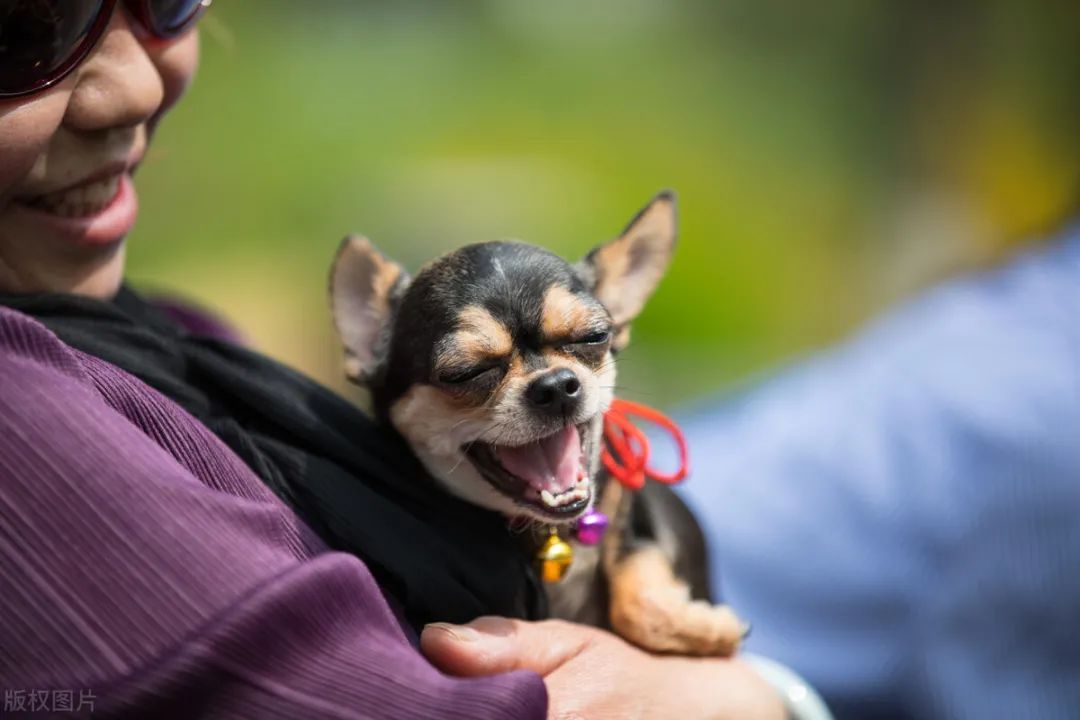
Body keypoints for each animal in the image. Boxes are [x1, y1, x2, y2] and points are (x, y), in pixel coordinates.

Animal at [328, 193, 747, 660]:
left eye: (593, 336)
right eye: (465, 373)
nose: (556, 386)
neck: (547, 533)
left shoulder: (635, 509)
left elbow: (636, 576)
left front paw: (699, 627)